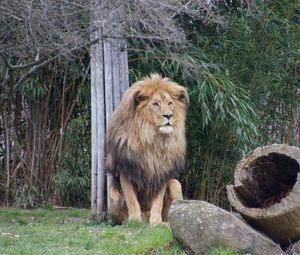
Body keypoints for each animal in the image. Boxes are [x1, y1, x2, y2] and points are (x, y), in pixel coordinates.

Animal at [106, 73, 189, 223]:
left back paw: (166, 222)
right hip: (113, 193)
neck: (152, 138)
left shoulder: (161, 171)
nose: (169, 115)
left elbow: (158, 201)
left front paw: (156, 222)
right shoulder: (126, 170)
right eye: (155, 104)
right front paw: (134, 222)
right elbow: (132, 200)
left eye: (170, 103)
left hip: (175, 184)